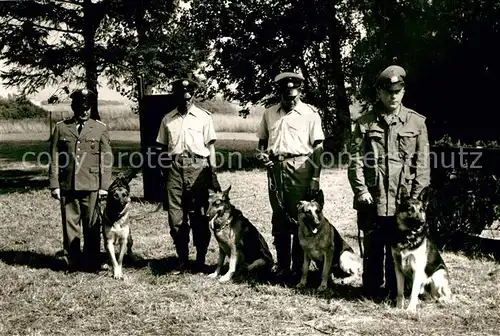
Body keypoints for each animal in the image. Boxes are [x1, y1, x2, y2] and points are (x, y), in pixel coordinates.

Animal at [392, 184, 452, 312]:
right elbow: (400, 292)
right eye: (410, 209)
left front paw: (410, 310)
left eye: (421, 210)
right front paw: (399, 308)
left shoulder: (417, 270)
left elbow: (413, 293)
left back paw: (442, 300)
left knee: (448, 295)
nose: (422, 222)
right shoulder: (398, 269)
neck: (407, 238)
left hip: (437, 275)